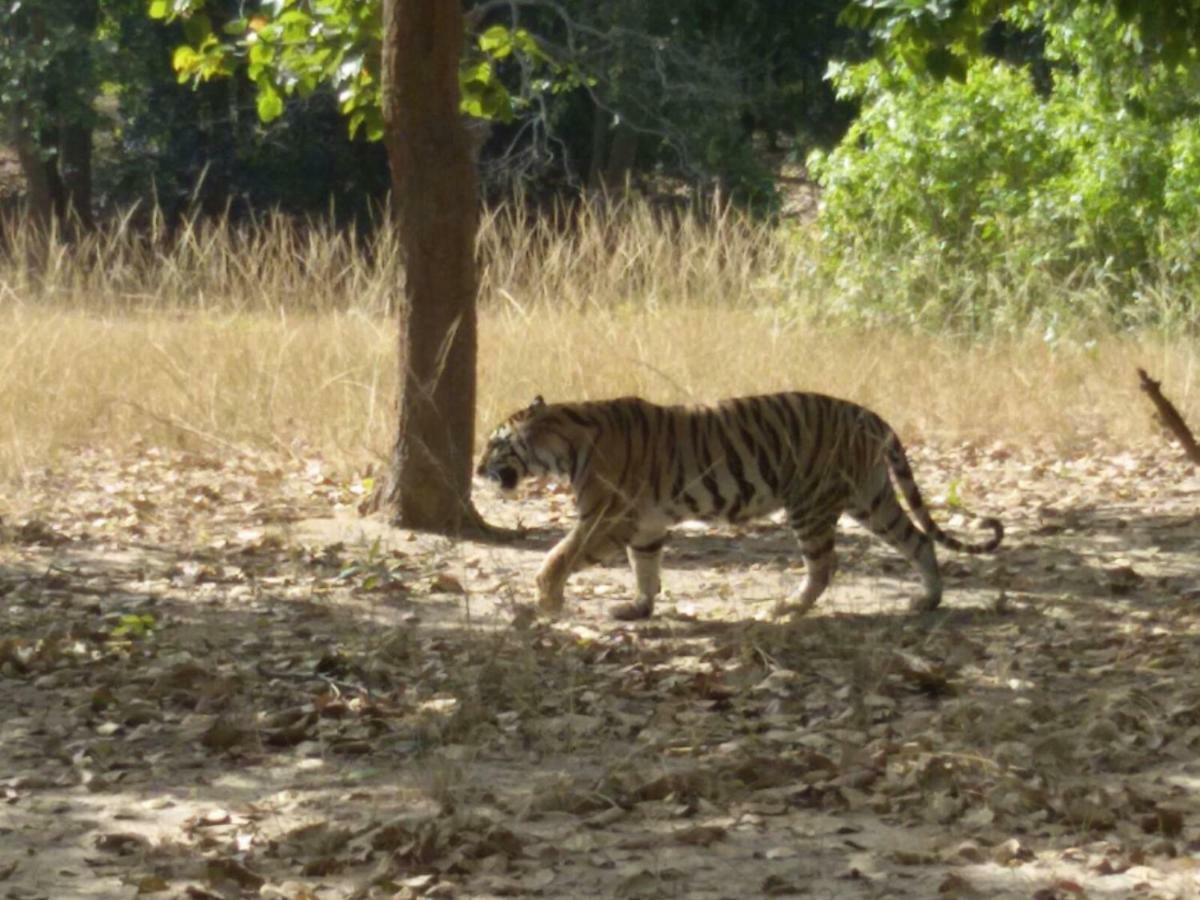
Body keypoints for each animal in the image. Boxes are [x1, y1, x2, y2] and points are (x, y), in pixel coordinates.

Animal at [472, 393, 998, 619]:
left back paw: (790, 606)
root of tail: (869, 413)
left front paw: (546, 601)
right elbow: (645, 567)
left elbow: (557, 556)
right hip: (871, 497)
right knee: (918, 538)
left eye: (495, 444)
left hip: (811, 503)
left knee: (825, 563)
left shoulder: (606, 517)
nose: (476, 470)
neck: (564, 445)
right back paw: (928, 600)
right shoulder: (644, 525)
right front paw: (639, 608)